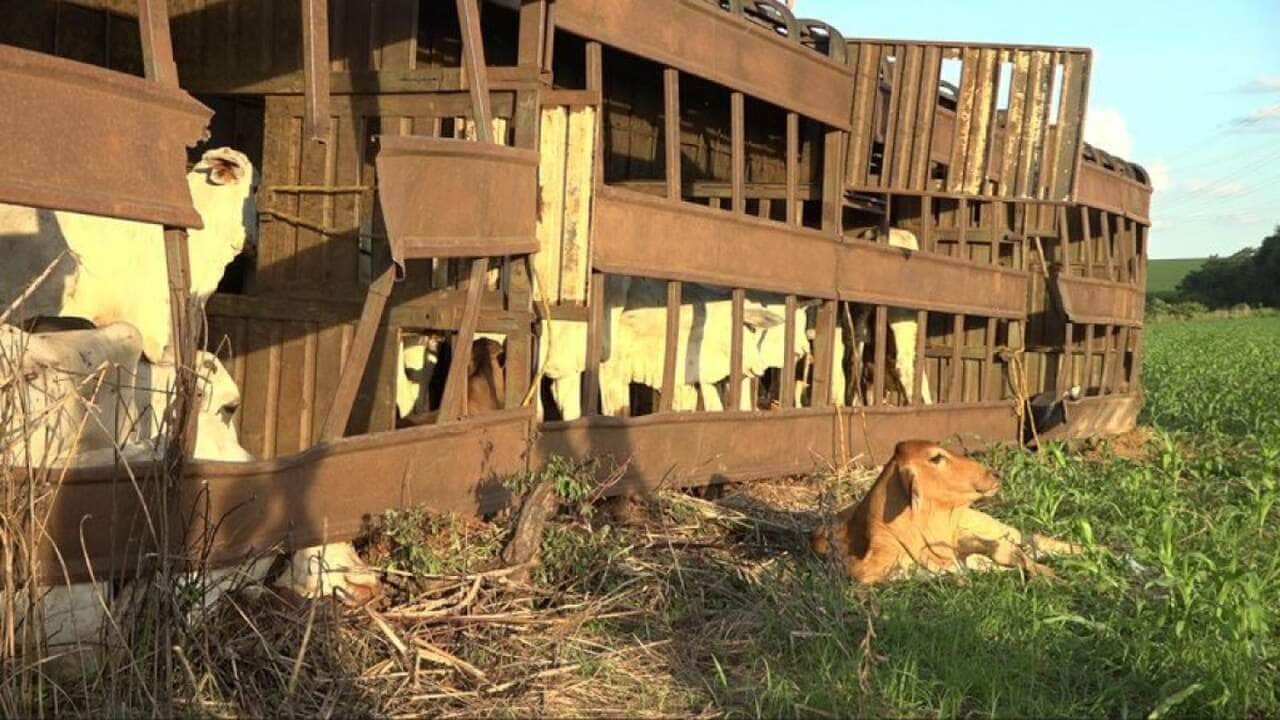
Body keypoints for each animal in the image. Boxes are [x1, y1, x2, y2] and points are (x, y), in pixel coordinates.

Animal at [808, 438, 1080, 584]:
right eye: (936, 458)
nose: (994, 474)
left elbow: (1005, 552)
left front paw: (1048, 575)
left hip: (995, 525)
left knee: (1035, 539)